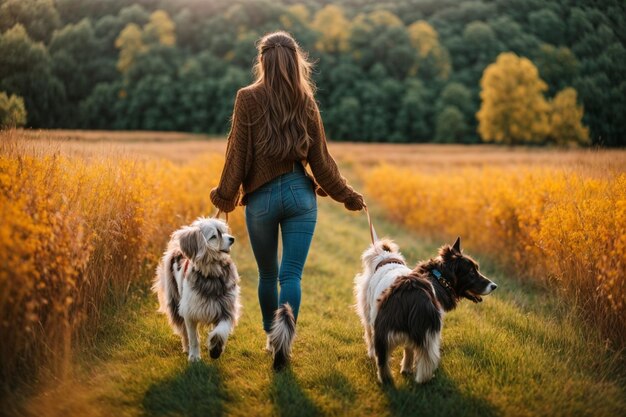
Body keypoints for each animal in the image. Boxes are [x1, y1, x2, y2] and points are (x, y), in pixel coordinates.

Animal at [354, 237, 494, 384]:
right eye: (472, 273)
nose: (494, 286)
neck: (439, 278)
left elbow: (408, 349)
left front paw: (406, 369)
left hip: (383, 328)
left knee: (382, 359)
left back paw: (386, 379)